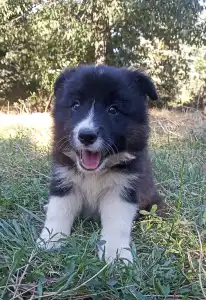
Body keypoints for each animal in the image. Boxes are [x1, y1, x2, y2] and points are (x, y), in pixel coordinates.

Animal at [36, 65, 163, 262]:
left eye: (113, 109)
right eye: (76, 105)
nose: (86, 136)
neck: (95, 173)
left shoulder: (123, 188)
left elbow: (117, 222)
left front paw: (116, 253)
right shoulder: (63, 178)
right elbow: (58, 210)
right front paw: (51, 240)